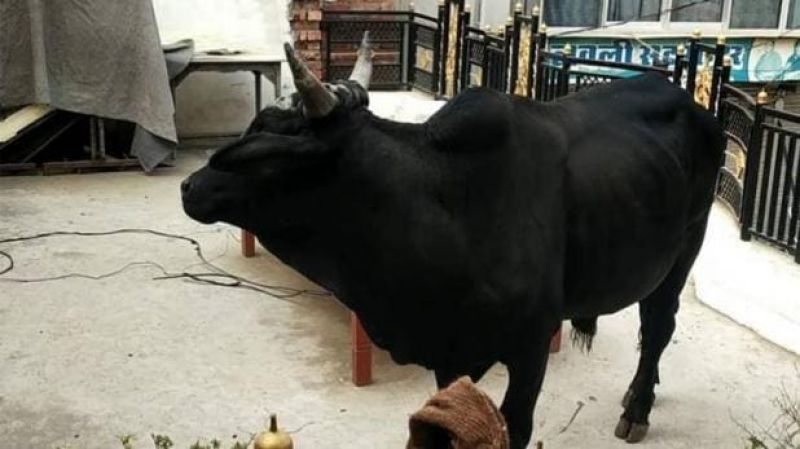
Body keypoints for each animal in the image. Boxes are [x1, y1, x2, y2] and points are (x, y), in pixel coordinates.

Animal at [181, 34, 724, 449]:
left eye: (271, 143)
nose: (189, 187)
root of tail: (692, 104)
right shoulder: (451, 352)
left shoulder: (530, 347)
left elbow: (516, 428)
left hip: (684, 250)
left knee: (658, 326)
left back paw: (637, 408)